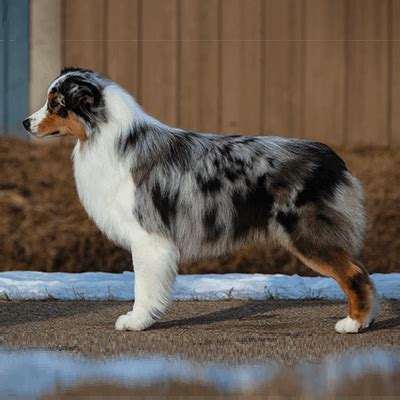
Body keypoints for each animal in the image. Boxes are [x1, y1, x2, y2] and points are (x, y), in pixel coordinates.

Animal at [23, 67, 380, 332]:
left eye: (56, 104)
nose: (25, 123)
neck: (108, 138)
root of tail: (333, 159)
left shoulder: (148, 235)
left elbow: (143, 285)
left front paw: (136, 321)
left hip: (306, 233)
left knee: (353, 274)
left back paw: (353, 323)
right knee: (362, 269)